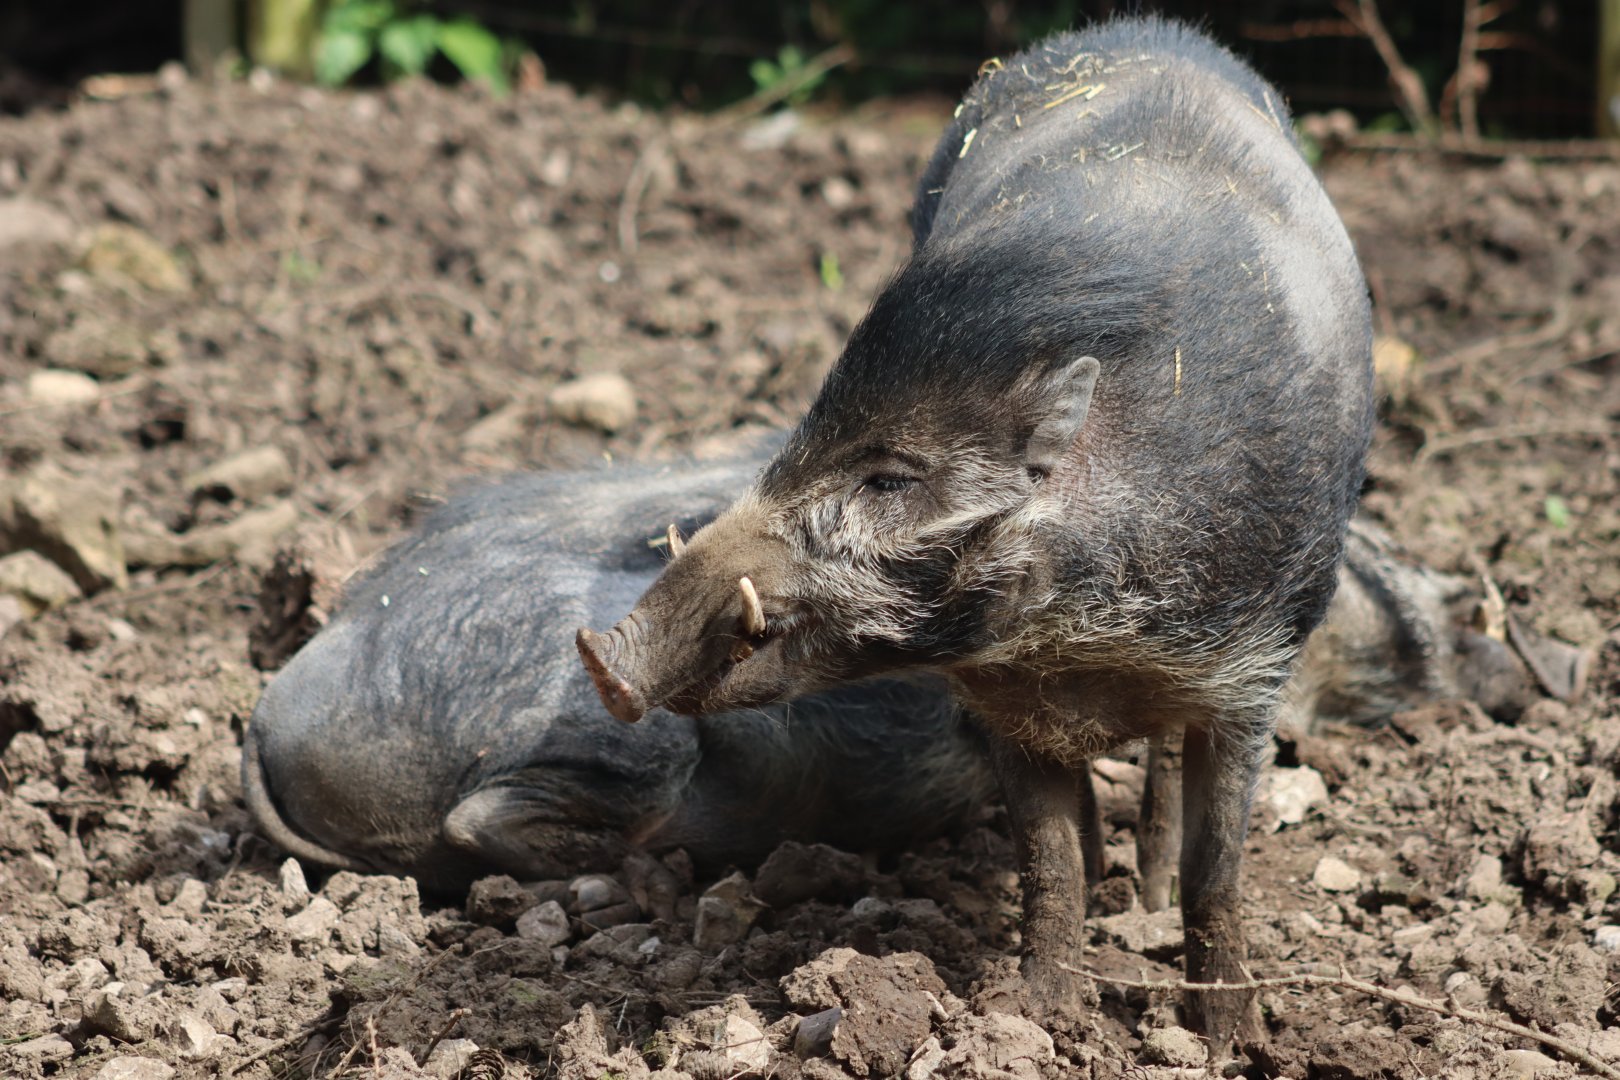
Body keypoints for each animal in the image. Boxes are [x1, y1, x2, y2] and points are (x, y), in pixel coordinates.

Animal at [578, 19, 1375, 1043]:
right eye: (801, 436)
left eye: (889, 477)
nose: (601, 656)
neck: (1087, 640)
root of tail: (1133, 29)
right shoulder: (1002, 700)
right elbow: (1047, 859)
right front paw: (1039, 1016)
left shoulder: (1253, 670)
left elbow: (1218, 869)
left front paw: (1234, 1039)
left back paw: (1146, 899)